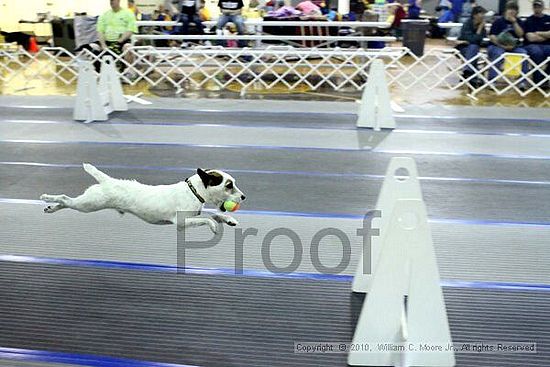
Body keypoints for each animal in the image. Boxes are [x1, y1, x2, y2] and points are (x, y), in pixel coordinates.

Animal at [40, 163, 245, 233]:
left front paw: (228, 219)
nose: (243, 196)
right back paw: (48, 198)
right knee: (65, 199)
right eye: (229, 185)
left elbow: (212, 213)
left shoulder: (195, 212)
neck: (193, 190)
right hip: (89, 204)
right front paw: (214, 226)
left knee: (67, 203)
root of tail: (107, 180)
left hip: (87, 202)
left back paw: (50, 208)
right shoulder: (181, 221)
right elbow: (207, 218)